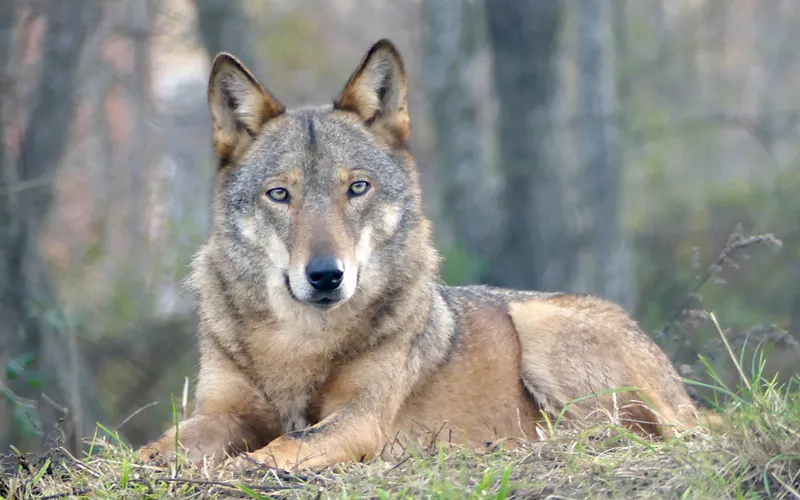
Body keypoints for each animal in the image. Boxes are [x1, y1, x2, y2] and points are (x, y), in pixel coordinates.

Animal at [138, 40, 720, 472]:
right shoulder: (224, 412)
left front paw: (237, 470)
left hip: (540, 327)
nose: (326, 276)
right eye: (280, 195)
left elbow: (277, 448)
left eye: (357, 188)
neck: (298, 344)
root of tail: (689, 400)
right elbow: (160, 446)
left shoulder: (360, 418)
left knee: (628, 433)